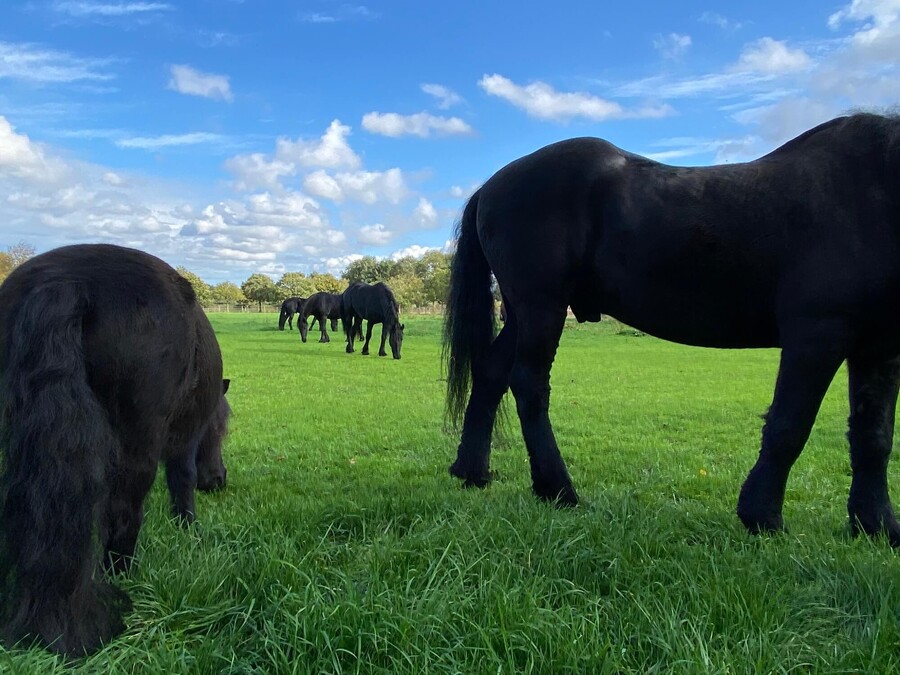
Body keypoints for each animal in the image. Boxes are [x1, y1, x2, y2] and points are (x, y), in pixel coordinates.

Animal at [1, 244, 232, 656]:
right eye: (219, 433)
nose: (219, 480)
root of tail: (65, 281)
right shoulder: (185, 442)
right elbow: (182, 480)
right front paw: (188, 528)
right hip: (137, 444)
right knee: (123, 511)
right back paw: (123, 577)